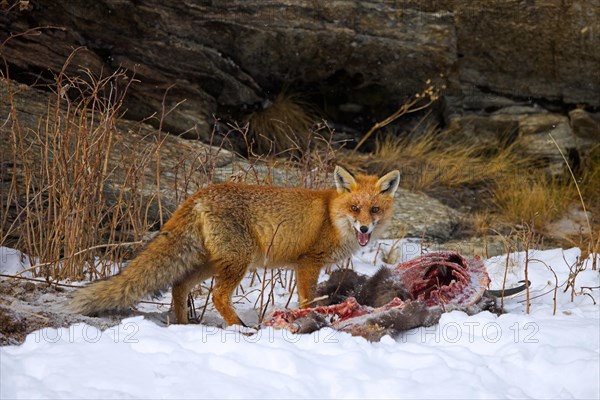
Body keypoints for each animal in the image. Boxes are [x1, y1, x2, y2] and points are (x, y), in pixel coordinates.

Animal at [71, 166, 398, 324]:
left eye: (374, 210)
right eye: (355, 208)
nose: (365, 228)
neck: (331, 216)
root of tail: (199, 194)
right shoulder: (308, 262)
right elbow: (307, 300)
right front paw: (310, 319)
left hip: (212, 262)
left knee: (179, 286)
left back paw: (183, 325)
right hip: (239, 261)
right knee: (217, 296)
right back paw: (239, 327)